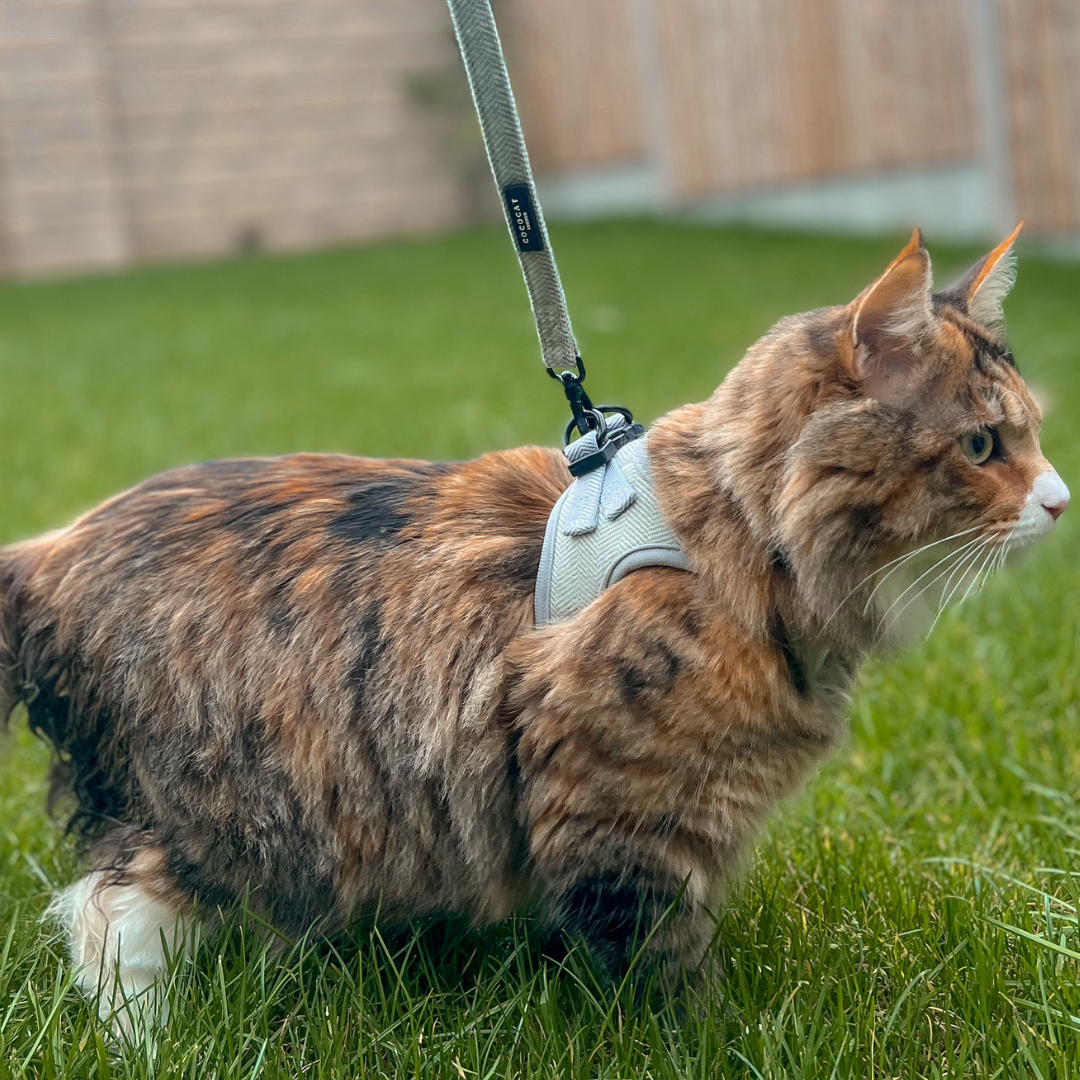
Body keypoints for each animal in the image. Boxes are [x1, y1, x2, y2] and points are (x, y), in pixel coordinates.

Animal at [0, 225, 1067, 1028]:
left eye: (1033, 434)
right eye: (984, 445)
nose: (1061, 501)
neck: (730, 535)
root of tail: (51, 549)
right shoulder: (626, 807)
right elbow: (662, 961)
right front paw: (706, 1035)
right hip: (248, 808)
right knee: (106, 914)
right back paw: (148, 1035)